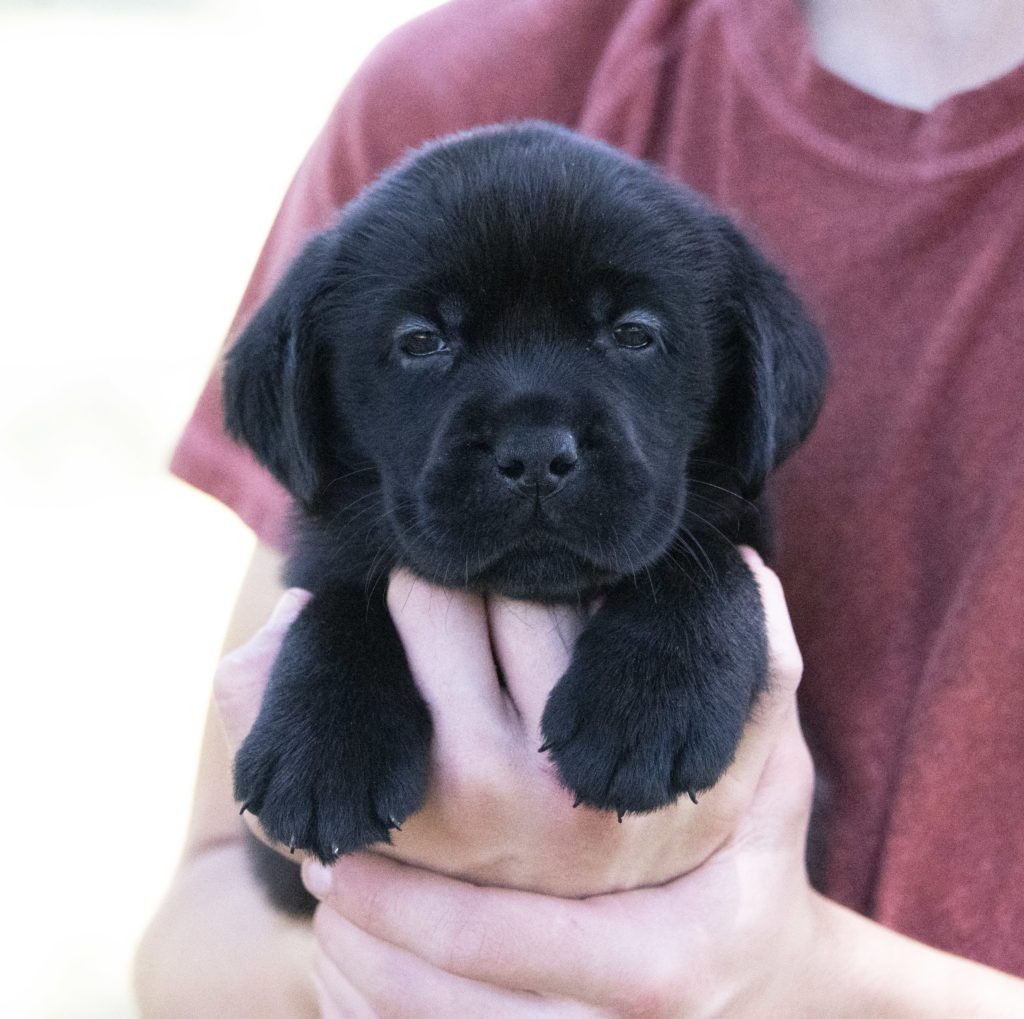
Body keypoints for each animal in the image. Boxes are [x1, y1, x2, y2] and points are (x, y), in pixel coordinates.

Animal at [222, 125, 823, 876]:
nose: (536, 454)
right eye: (422, 340)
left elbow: (705, 558)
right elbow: (341, 600)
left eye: (633, 333)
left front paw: (648, 701)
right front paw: (324, 742)